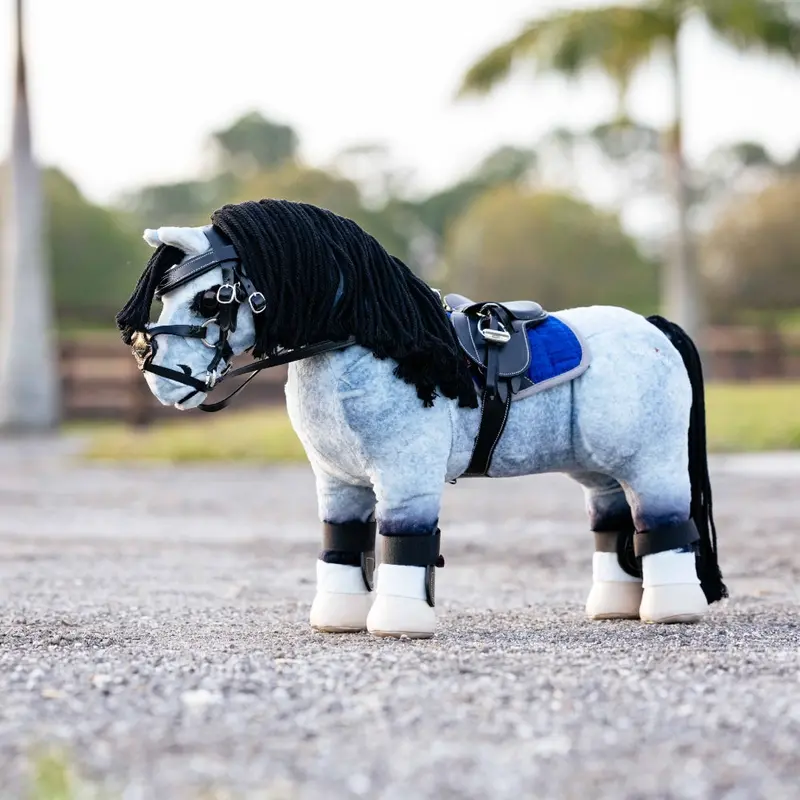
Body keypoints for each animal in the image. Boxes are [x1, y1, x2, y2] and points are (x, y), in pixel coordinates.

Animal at [116, 198, 726, 639]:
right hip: (599, 469)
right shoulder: (338, 482)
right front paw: (339, 619)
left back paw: (671, 609)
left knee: (663, 524)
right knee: (614, 522)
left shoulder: (406, 476)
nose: (160, 376)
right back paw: (614, 608)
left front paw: (398, 624)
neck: (372, 342)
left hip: (653, 461)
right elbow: (342, 541)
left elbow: (402, 541)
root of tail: (652, 327)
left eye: (210, 299)